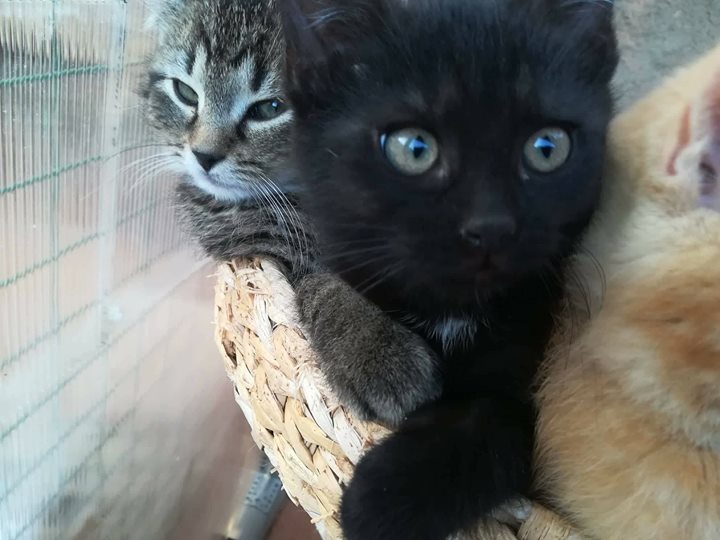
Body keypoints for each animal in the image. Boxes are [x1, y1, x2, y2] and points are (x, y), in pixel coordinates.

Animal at [278, 0, 618, 538]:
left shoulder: (524, 364)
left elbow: (491, 428)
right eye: (413, 148)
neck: (453, 307)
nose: (491, 225)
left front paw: (375, 501)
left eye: (548, 147)